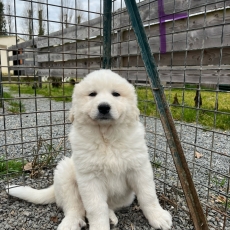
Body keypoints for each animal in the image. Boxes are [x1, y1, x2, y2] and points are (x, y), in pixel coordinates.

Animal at [6, 70, 172, 230]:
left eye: (116, 94)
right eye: (92, 94)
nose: (104, 107)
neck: (106, 138)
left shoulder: (139, 169)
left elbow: (148, 195)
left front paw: (158, 217)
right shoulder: (90, 179)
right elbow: (96, 208)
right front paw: (99, 226)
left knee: (107, 206)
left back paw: (110, 217)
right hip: (64, 174)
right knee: (75, 207)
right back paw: (70, 223)